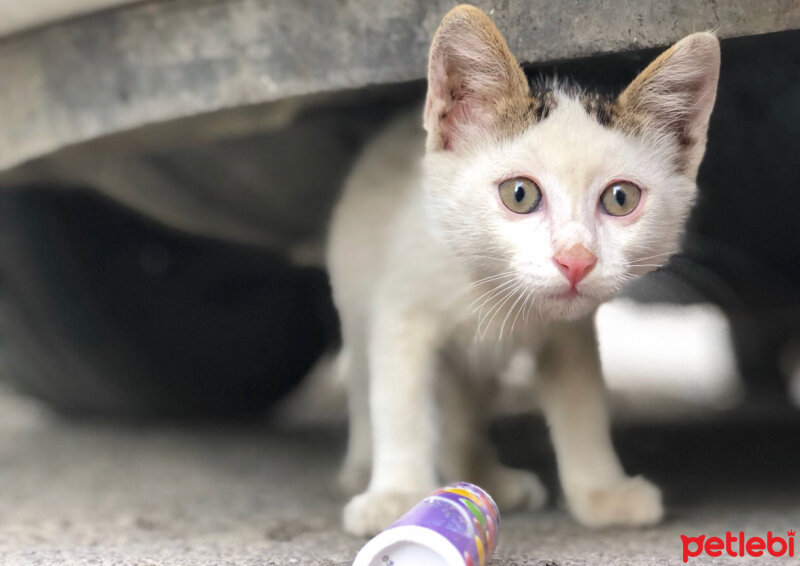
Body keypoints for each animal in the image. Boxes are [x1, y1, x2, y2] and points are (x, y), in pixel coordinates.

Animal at [324, 3, 720, 536]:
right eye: (520, 193)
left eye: (621, 198)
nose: (576, 259)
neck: (494, 294)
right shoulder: (401, 311)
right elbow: (400, 403)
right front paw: (397, 495)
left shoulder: (571, 332)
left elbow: (582, 403)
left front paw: (601, 491)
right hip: (354, 288)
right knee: (366, 383)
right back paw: (362, 466)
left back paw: (485, 477)